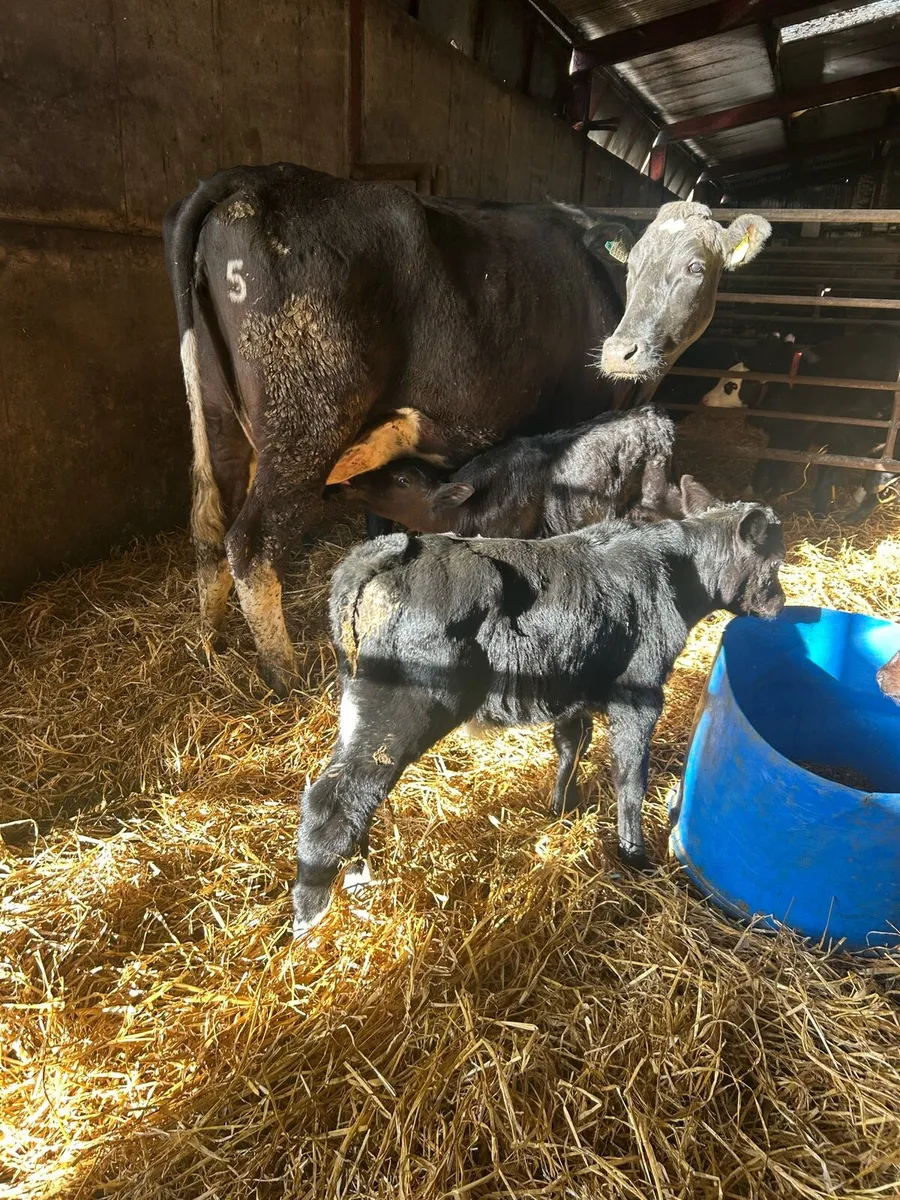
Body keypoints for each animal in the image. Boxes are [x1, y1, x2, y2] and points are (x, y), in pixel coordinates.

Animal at [291, 493, 785, 935]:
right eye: (778, 562)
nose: (780, 604)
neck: (678, 572)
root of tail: (388, 552)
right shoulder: (639, 697)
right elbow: (630, 779)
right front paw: (635, 857)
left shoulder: (574, 689)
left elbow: (572, 743)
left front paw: (560, 810)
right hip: (402, 708)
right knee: (334, 798)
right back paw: (310, 920)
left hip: (360, 707)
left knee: (354, 793)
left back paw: (358, 878)